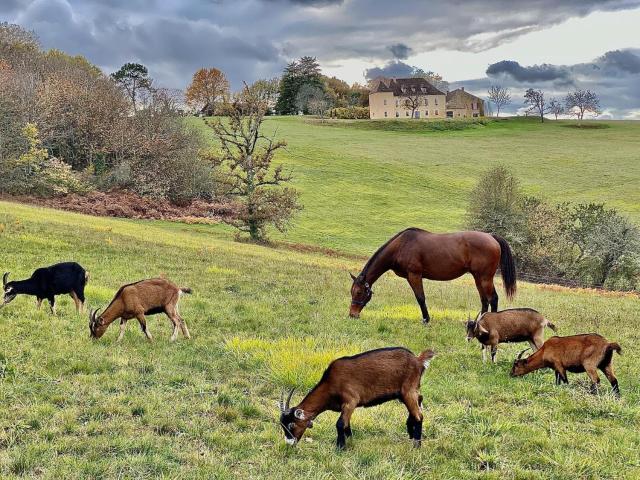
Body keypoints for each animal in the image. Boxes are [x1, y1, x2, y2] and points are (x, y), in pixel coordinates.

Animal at [276, 346, 436, 448]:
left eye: (291, 425)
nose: (289, 444)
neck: (330, 383)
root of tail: (418, 360)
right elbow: (347, 424)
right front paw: (350, 442)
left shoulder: (350, 401)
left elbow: (340, 423)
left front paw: (340, 448)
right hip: (406, 392)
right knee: (419, 401)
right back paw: (411, 432)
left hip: (408, 390)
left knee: (419, 415)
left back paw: (416, 445)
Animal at [350, 228, 516, 324]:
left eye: (358, 292)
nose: (352, 314)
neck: (401, 246)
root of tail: (491, 237)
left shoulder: (415, 275)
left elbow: (420, 298)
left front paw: (426, 319)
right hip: (478, 277)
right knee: (484, 300)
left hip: (485, 277)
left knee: (493, 298)